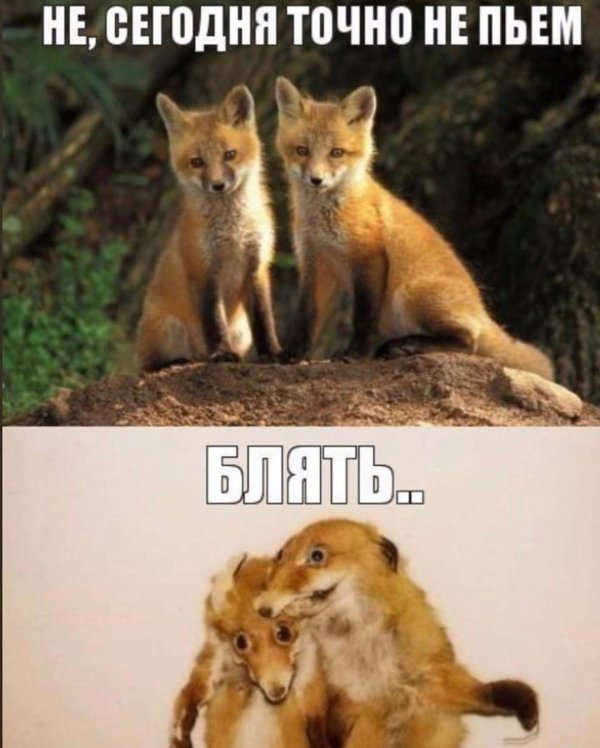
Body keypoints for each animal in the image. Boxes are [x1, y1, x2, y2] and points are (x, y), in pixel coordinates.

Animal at [136, 85, 280, 371]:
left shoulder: (257, 266)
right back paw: (178, 362)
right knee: (149, 365)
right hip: (168, 327)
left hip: (241, 332)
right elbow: (214, 321)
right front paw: (222, 353)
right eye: (197, 162)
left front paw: (273, 353)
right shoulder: (204, 271)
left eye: (230, 155)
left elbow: (264, 319)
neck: (233, 231)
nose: (218, 185)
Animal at [170, 554, 330, 748]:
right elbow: (190, 695)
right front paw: (180, 735)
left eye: (284, 633)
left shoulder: (311, 684)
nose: (276, 690)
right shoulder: (213, 663)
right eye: (240, 642)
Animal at [255, 519, 539, 748]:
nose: (262, 607)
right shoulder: (357, 707)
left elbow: (481, 692)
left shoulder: (428, 682)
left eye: (316, 555)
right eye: (280, 557)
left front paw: (523, 706)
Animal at [274, 77, 553, 380]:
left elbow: (363, 316)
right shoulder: (316, 262)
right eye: (302, 150)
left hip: (408, 292)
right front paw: (291, 355)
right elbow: (306, 316)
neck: (323, 218)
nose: (316, 180)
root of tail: (483, 312)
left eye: (337, 153)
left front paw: (354, 354)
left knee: (469, 341)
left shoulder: (368, 257)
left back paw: (407, 346)